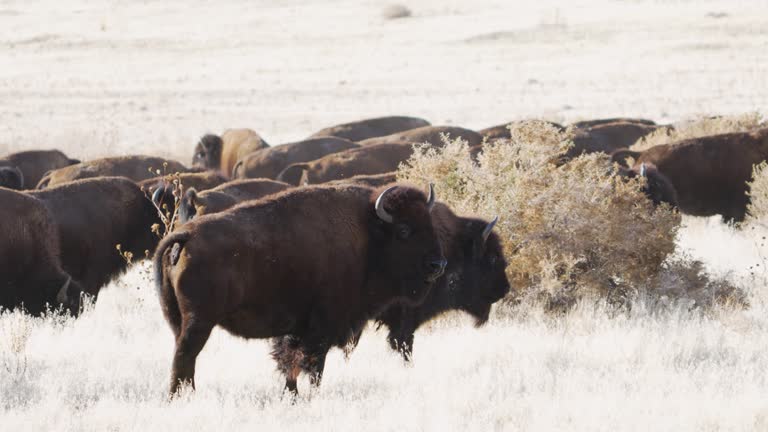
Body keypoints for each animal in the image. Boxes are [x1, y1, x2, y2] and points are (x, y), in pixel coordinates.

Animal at [154, 182, 444, 394]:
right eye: (404, 230)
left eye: (430, 224)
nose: (437, 264)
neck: (368, 235)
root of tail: (186, 234)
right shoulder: (321, 328)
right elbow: (313, 366)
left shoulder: (295, 330)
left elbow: (290, 363)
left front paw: (290, 395)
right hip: (199, 322)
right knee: (184, 357)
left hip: (179, 320)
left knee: (185, 359)